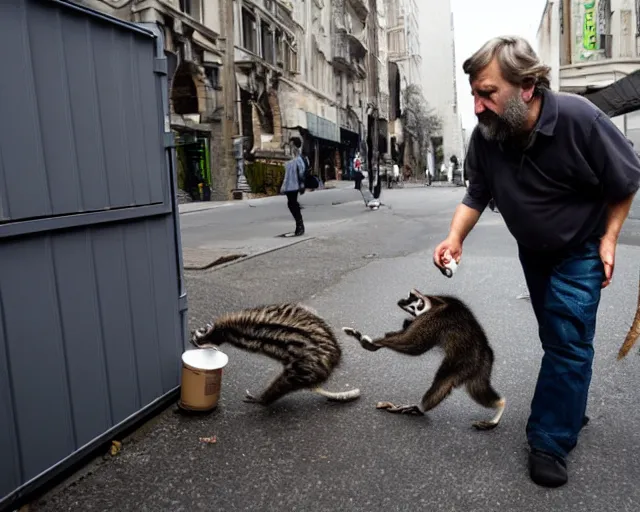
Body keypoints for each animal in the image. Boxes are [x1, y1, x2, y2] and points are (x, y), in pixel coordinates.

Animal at [189, 302, 360, 406]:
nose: (193, 339)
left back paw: (263, 399)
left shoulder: (227, 331)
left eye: (196, 338)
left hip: (305, 363)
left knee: (284, 383)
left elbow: (215, 336)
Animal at [340, 290, 504, 430]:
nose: (401, 301)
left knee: (444, 380)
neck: (434, 302)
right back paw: (500, 404)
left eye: (412, 303)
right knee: (476, 387)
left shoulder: (434, 319)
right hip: (480, 367)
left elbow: (414, 344)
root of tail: (484, 352)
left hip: (465, 362)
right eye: (408, 298)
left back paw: (420, 408)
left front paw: (374, 343)